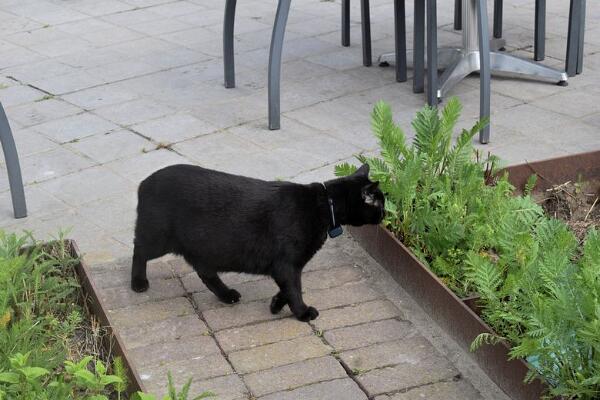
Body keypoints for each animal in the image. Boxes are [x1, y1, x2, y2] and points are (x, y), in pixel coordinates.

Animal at [130, 163, 384, 321]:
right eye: (380, 204)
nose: (384, 215)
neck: (323, 204)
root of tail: (143, 182)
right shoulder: (286, 264)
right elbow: (295, 289)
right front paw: (302, 313)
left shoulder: (288, 267)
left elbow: (288, 288)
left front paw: (276, 304)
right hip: (158, 238)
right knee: (138, 250)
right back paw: (138, 283)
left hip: (204, 247)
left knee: (205, 272)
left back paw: (227, 295)